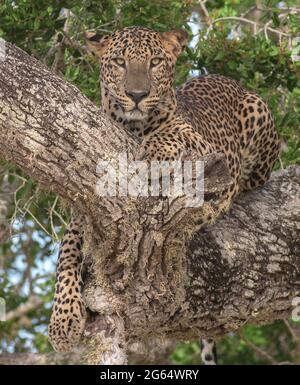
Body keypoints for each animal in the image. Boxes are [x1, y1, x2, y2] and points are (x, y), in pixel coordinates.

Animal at [48, 26, 280, 364]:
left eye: (155, 62)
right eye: (119, 62)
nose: (137, 96)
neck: (134, 127)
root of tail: (230, 81)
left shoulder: (205, 146)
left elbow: (173, 133)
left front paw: (155, 149)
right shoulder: (84, 211)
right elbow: (66, 254)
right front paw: (63, 321)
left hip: (257, 114)